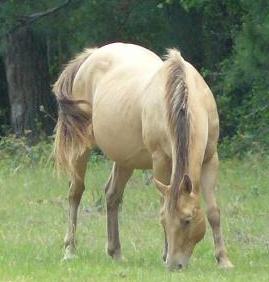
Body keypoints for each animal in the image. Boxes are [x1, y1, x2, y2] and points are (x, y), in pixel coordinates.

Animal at [52, 41, 232, 268]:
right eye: (164, 221)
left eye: (187, 220)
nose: (174, 265)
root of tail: (92, 55)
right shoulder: (161, 159)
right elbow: (164, 203)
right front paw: (164, 254)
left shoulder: (210, 159)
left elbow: (213, 212)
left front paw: (223, 260)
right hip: (81, 148)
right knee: (75, 193)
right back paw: (70, 250)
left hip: (125, 159)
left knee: (112, 195)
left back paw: (115, 252)